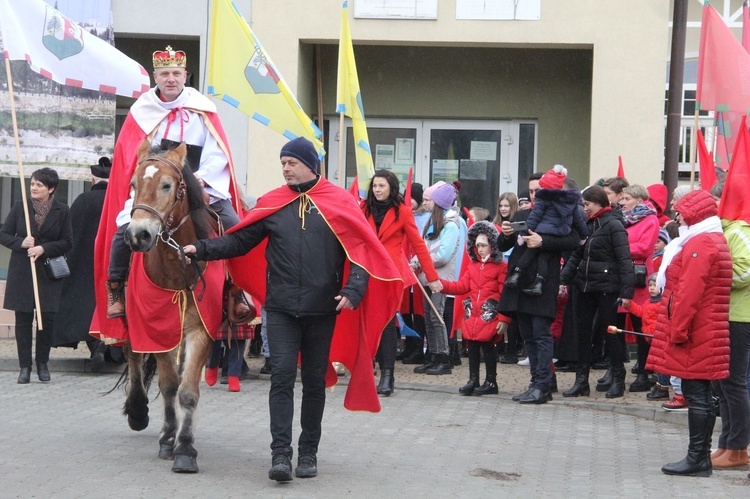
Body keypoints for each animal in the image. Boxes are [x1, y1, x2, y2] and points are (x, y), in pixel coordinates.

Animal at [122, 139, 222, 474]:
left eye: (167, 185)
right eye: (133, 185)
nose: (138, 235)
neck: (178, 268)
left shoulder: (201, 329)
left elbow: (187, 390)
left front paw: (186, 448)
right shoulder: (156, 326)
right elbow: (168, 385)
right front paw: (168, 438)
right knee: (132, 353)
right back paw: (137, 410)